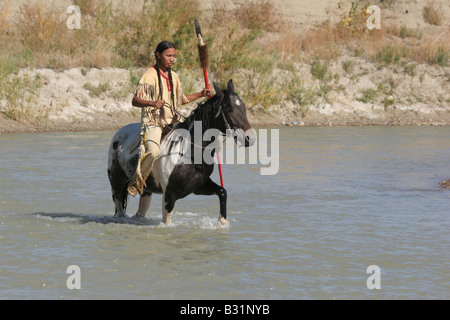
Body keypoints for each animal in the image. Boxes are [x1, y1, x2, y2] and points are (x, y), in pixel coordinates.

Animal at [107, 79, 255, 225]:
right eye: (229, 108)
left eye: (244, 107)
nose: (250, 138)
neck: (189, 153)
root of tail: (119, 133)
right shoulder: (169, 196)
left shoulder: (199, 186)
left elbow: (222, 192)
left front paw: (222, 221)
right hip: (116, 183)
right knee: (119, 207)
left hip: (146, 188)